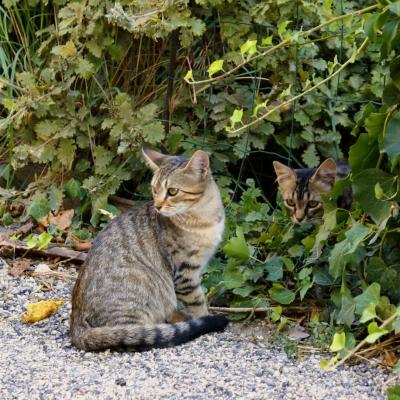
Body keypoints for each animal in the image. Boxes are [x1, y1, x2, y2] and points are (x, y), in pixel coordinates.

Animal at [70, 148, 228, 352]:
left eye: (172, 191)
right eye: (154, 189)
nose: (157, 206)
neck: (204, 216)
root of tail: (76, 327)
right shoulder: (185, 273)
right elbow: (197, 302)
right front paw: (204, 317)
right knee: (132, 337)